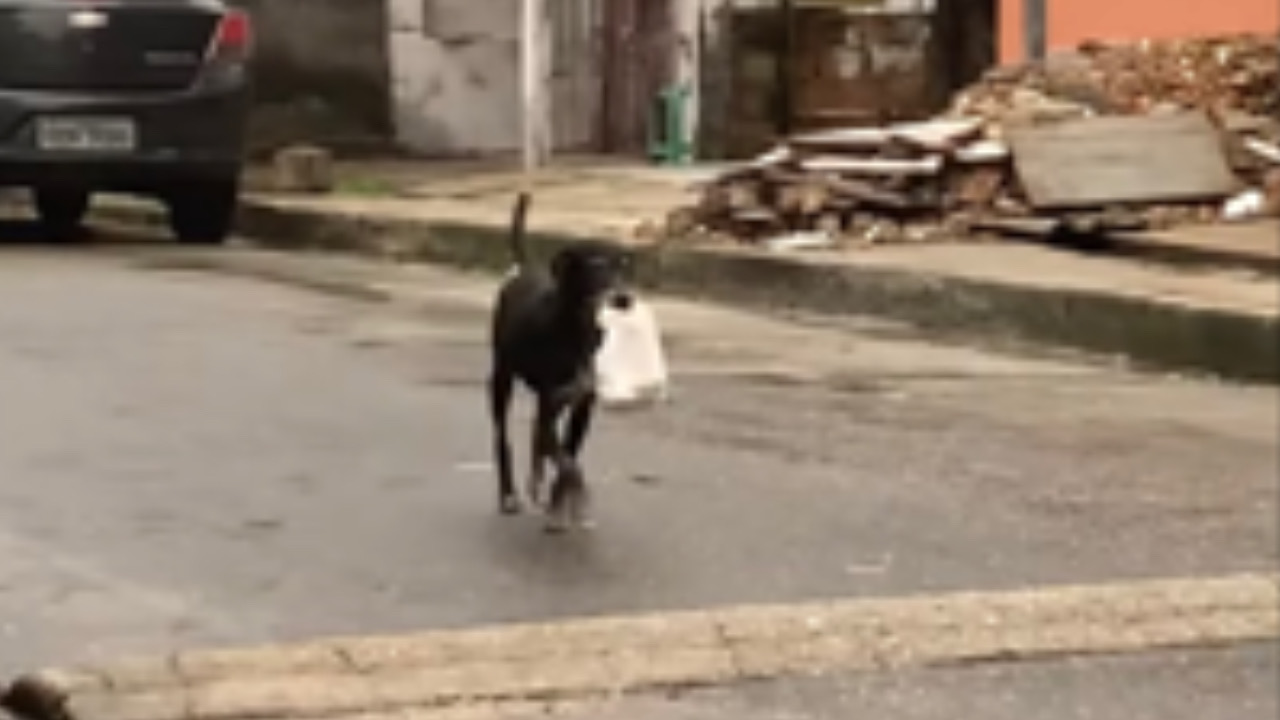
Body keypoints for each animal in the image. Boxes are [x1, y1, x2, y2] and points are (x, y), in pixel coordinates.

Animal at [486, 193, 632, 530]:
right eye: (595, 265)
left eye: (622, 266)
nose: (624, 299)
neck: (575, 332)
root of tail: (526, 268)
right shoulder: (550, 398)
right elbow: (566, 461)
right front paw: (577, 498)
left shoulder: (581, 405)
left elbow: (568, 454)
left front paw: (558, 504)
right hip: (501, 378)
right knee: (503, 437)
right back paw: (509, 494)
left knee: (537, 436)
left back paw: (536, 478)